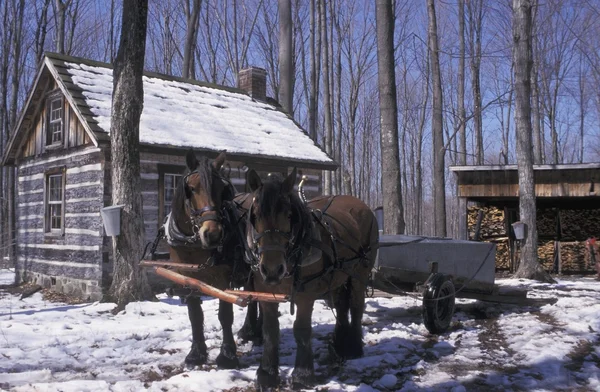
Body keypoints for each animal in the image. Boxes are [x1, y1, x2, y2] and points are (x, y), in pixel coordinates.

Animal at [165, 149, 258, 368]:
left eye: (223, 190)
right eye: (191, 189)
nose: (213, 234)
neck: (194, 244)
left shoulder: (223, 277)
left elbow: (225, 315)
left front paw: (227, 355)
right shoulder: (187, 277)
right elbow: (194, 315)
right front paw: (196, 354)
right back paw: (249, 331)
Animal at [245, 168, 378, 388]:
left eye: (289, 215)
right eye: (255, 215)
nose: (272, 269)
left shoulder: (305, 295)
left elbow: (301, 330)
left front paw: (302, 374)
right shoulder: (265, 292)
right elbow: (270, 331)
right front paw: (267, 374)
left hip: (360, 273)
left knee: (356, 306)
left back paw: (353, 347)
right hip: (339, 275)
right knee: (341, 306)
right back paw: (339, 345)